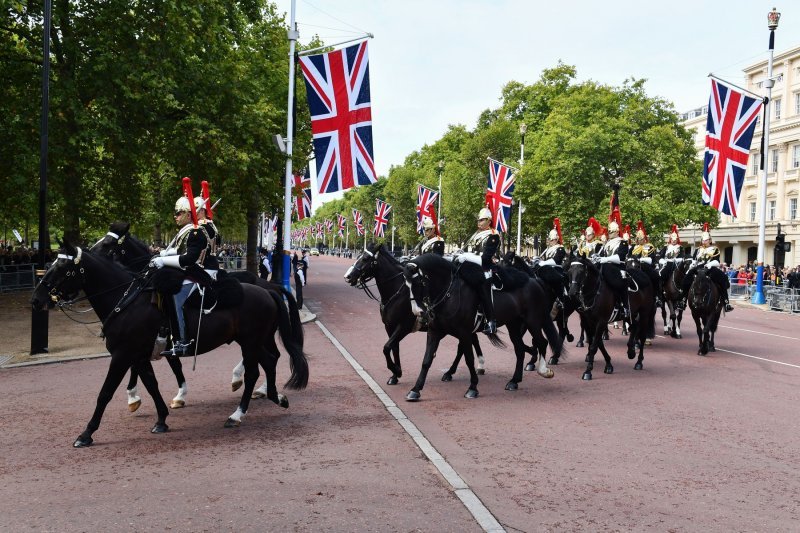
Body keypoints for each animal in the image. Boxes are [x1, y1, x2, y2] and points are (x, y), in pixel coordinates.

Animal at [31, 241, 308, 444]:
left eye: (62, 268)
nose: (37, 300)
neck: (126, 301)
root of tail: (268, 289)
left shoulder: (122, 355)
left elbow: (105, 393)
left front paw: (86, 433)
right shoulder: (139, 355)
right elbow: (152, 384)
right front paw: (160, 417)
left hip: (251, 341)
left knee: (254, 371)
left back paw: (238, 413)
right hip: (254, 341)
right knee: (270, 361)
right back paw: (274, 396)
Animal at [344, 243, 488, 384]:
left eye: (365, 258)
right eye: (360, 255)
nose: (347, 277)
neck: (396, 293)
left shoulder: (404, 326)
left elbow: (387, 347)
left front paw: (396, 370)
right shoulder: (389, 326)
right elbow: (393, 347)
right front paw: (395, 375)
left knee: (464, 346)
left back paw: (462, 369)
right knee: (468, 343)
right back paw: (462, 370)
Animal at [404, 254, 560, 400]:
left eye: (419, 282)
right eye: (406, 285)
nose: (418, 312)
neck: (450, 294)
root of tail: (535, 280)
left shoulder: (464, 333)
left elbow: (468, 359)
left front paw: (472, 387)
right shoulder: (435, 331)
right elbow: (427, 360)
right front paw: (415, 390)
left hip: (532, 321)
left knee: (542, 342)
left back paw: (543, 370)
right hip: (514, 325)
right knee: (520, 349)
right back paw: (514, 381)